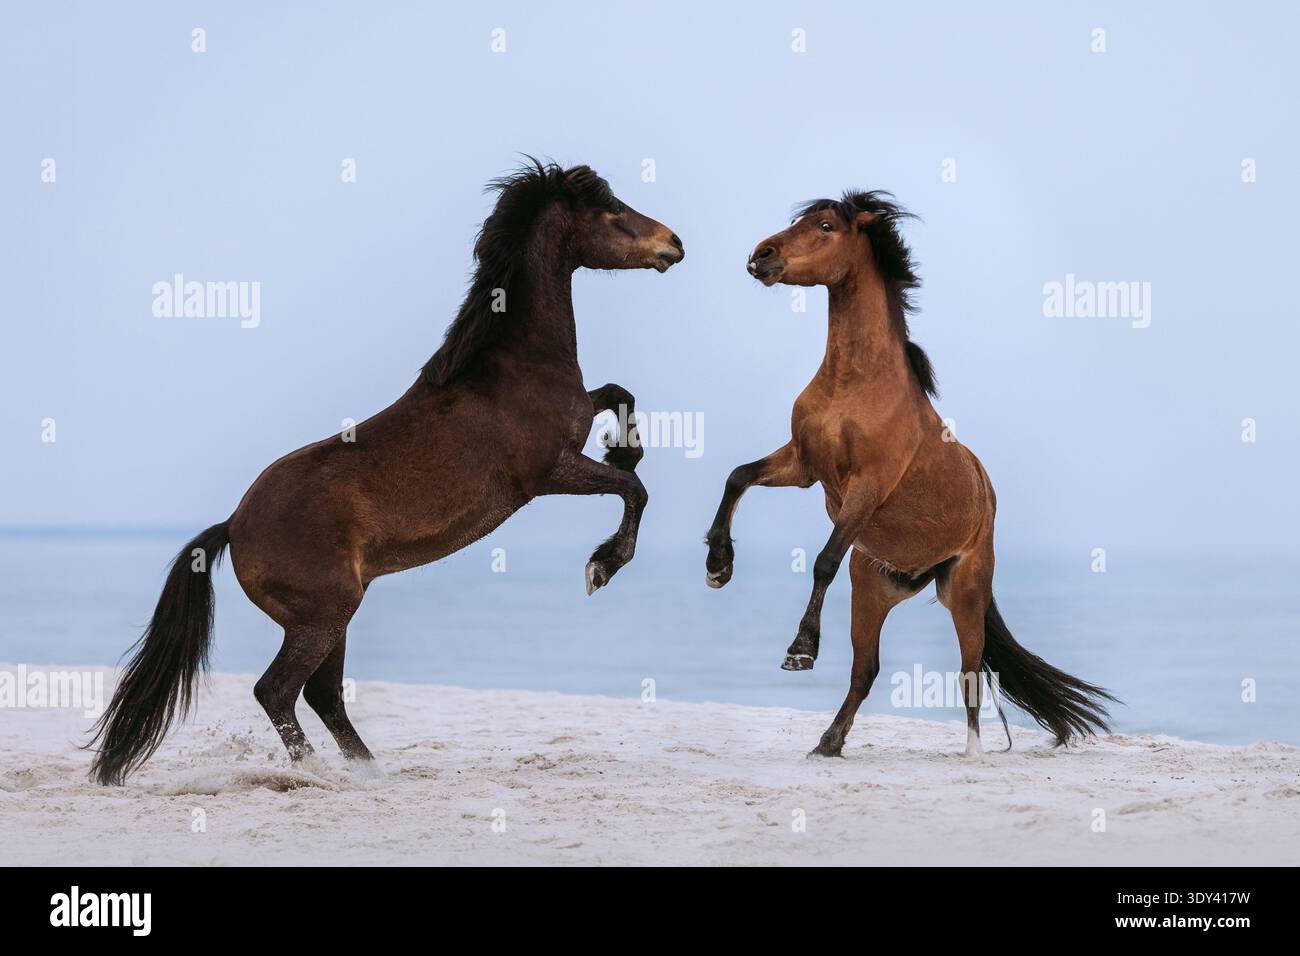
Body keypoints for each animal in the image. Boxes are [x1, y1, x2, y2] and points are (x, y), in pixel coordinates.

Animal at [89, 161, 684, 785]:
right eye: (612, 210)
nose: (674, 243)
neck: (513, 365)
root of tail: (232, 525)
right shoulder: (549, 472)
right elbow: (634, 489)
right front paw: (602, 565)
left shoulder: (576, 429)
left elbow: (618, 396)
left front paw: (625, 450)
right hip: (324, 616)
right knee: (278, 691)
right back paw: (317, 773)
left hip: (333, 617)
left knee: (322, 695)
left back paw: (368, 773)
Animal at [704, 190, 1116, 758]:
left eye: (826, 226)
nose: (761, 255)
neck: (853, 384)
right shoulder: (804, 464)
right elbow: (738, 477)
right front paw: (718, 566)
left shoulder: (867, 487)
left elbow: (824, 561)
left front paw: (800, 651)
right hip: (873, 591)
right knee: (866, 671)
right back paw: (827, 745)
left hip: (965, 592)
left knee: (969, 673)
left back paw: (971, 754)